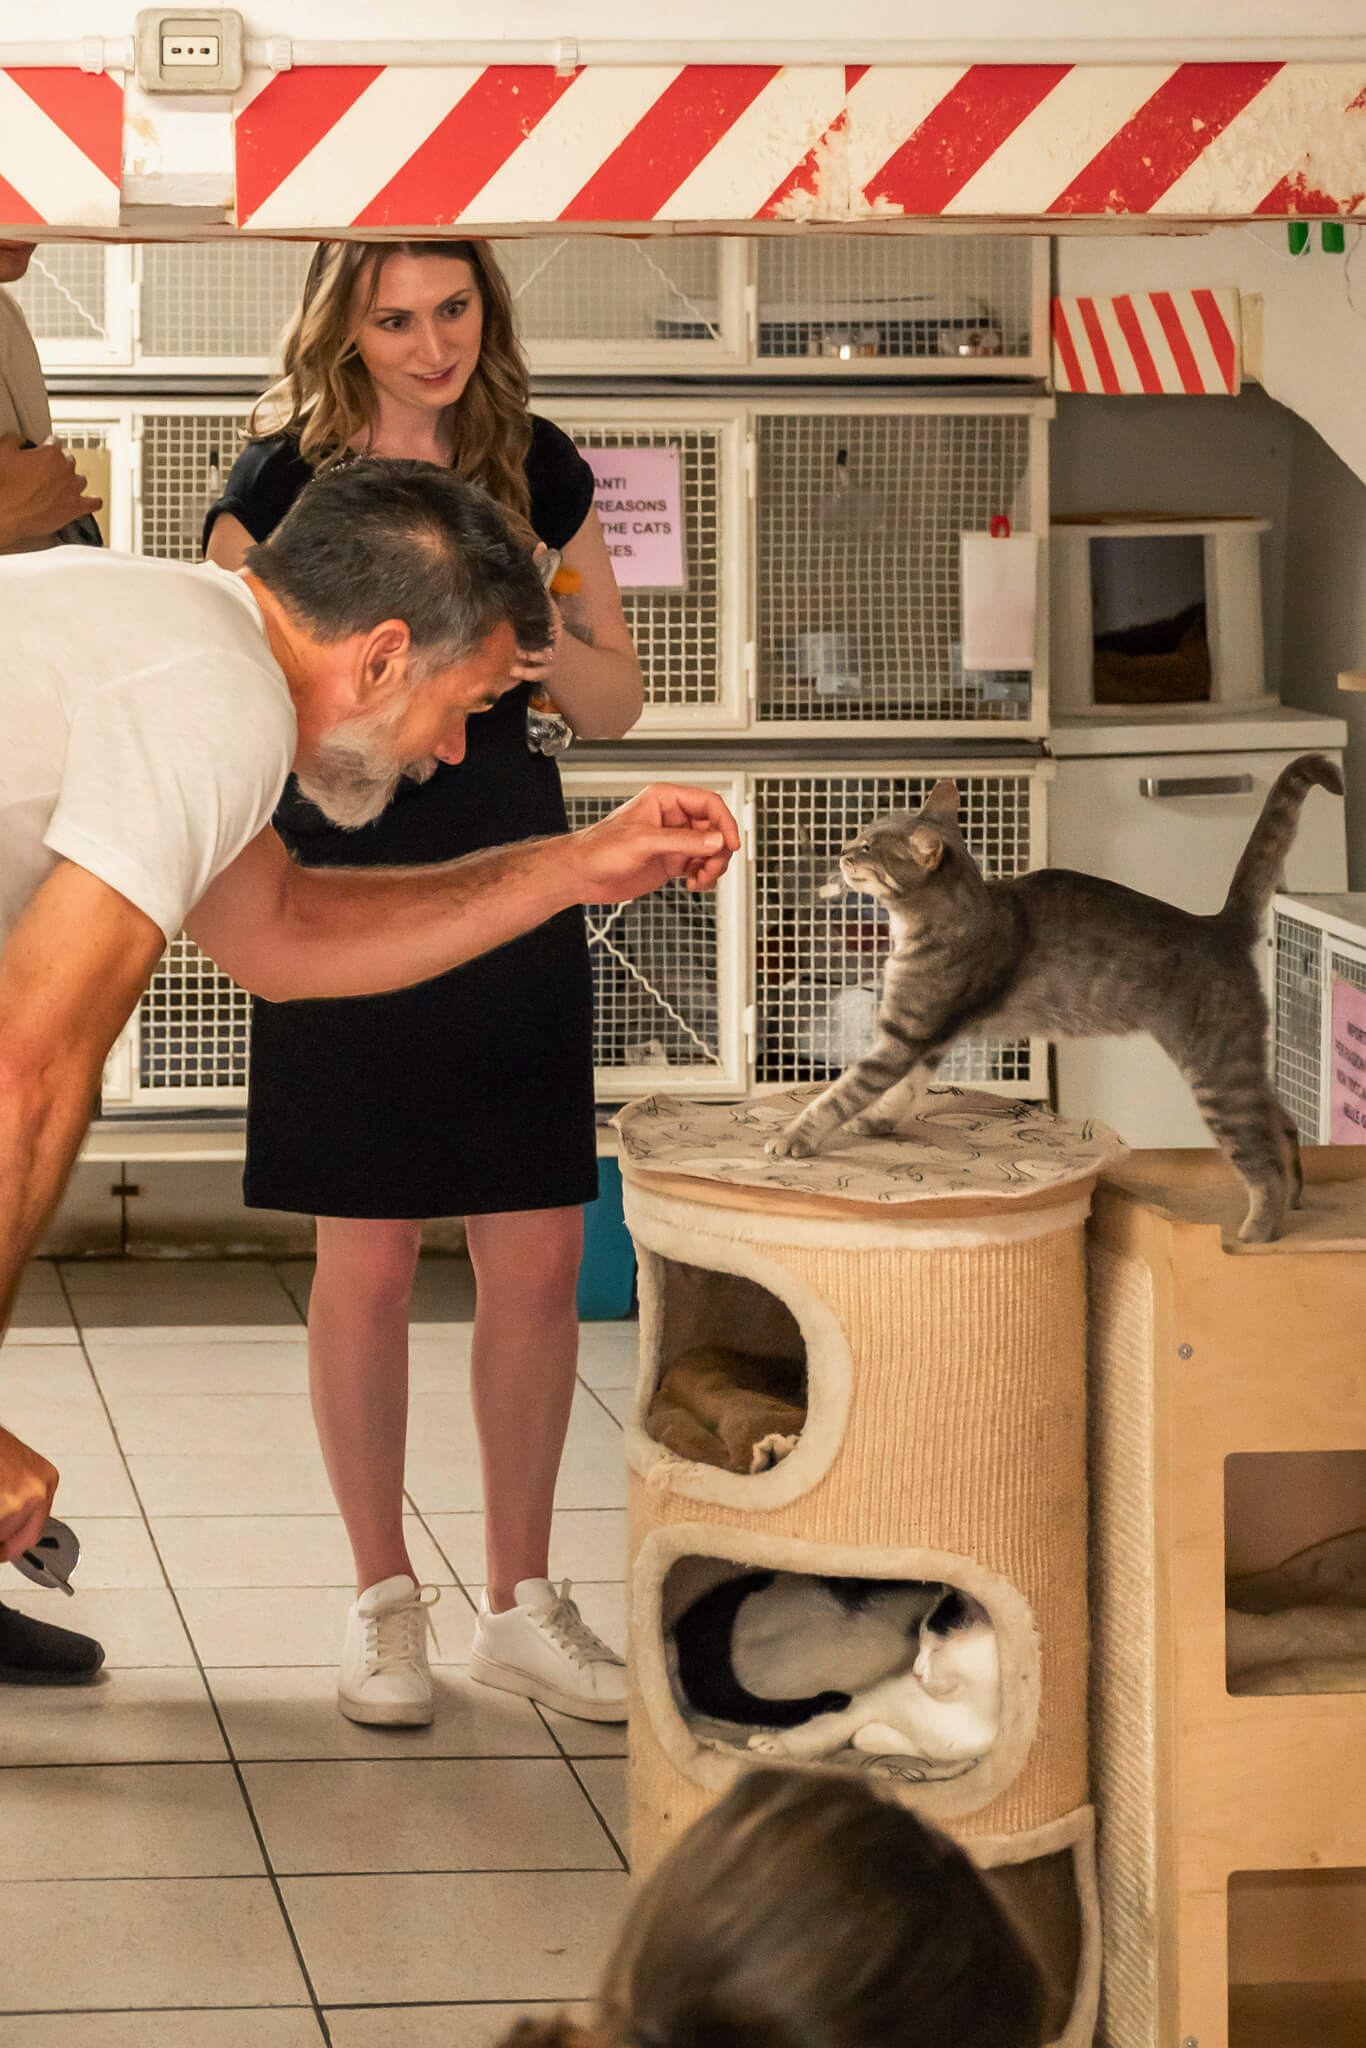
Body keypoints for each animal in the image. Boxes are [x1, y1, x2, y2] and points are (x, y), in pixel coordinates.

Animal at [671, 1572, 999, 1769]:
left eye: (937, 1651)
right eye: (919, 1643)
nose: (915, 1670)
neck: (963, 1709)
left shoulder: (960, 1751)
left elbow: (904, 1746)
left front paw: (872, 1735)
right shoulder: (865, 1701)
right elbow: (826, 1729)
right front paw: (777, 1745)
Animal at [770, 749, 1343, 1228]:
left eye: (866, 846)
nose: (840, 850)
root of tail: (1219, 926)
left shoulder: (904, 1035)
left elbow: (841, 1092)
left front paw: (794, 1138)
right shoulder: (930, 1036)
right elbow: (903, 1092)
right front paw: (878, 1122)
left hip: (1218, 1075)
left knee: (1262, 1162)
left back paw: (1254, 1235)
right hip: (1241, 1063)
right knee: (1285, 1126)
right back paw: (1296, 1203)